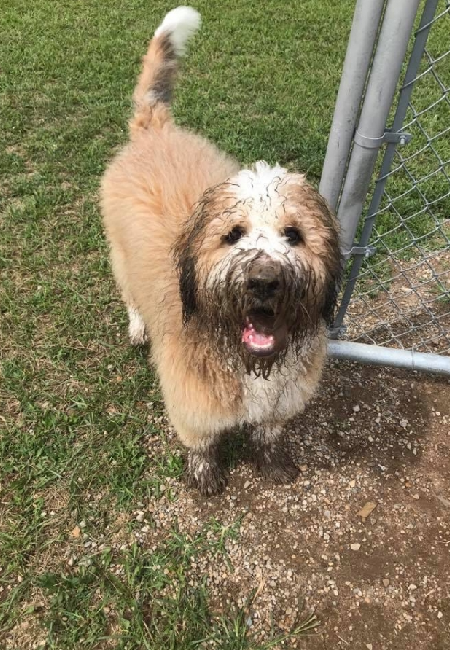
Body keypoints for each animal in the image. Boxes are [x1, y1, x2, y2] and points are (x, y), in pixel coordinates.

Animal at [102, 5, 342, 494]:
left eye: (294, 234)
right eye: (233, 234)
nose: (264, 281)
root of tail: (153, 127)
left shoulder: (282, 399)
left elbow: (268, 432)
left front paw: (272, 462)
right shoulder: (191, 399)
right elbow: (202, 442)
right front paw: (205, 474)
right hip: (119, 253)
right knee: (129, 294)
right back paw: (137, 327)